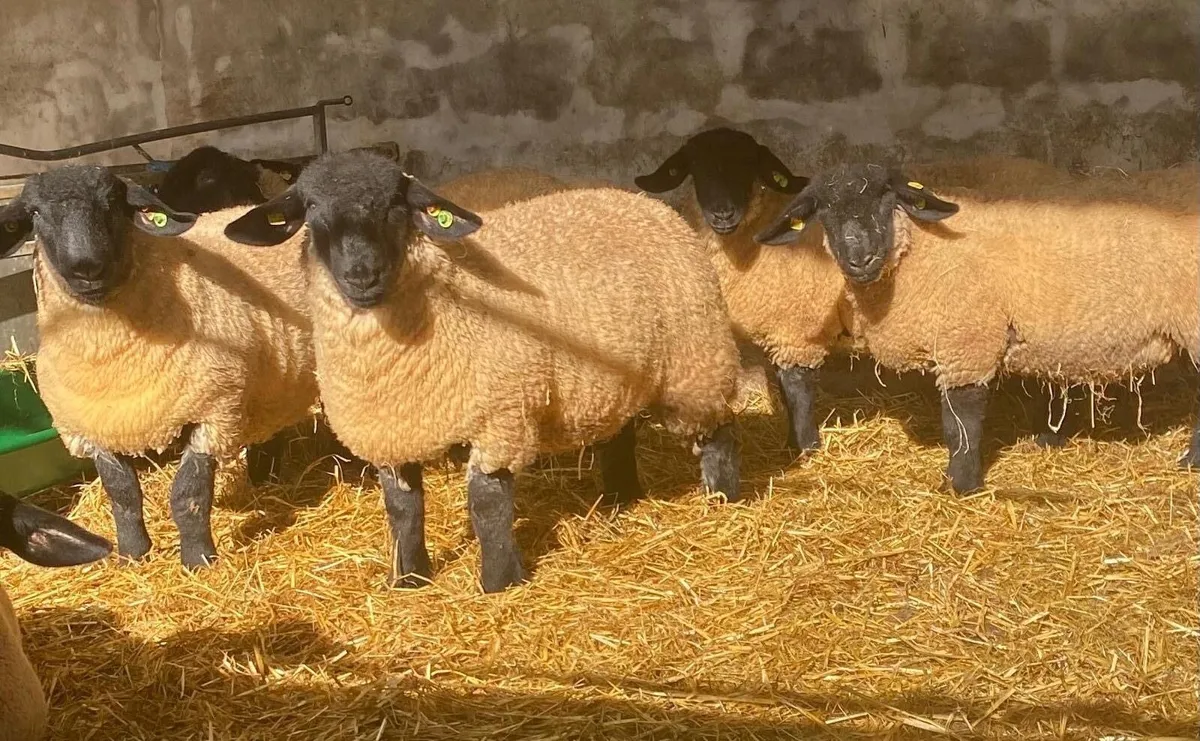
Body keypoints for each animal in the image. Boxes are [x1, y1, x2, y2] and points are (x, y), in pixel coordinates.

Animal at [0, 165, 318, 568]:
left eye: (113, 203)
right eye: (35, 213)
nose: (86, 267)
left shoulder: (211, 410)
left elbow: (188, 495)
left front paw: (198, 560)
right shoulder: (95, 426)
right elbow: (122, 496)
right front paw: (132, 555)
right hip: (273, 375)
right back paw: (265, 477)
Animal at [222, 151, 742, 593]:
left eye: (394, 205)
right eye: (311, 208)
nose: (361, 274)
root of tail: (639, 202)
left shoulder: (501, 414)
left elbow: (487, 501)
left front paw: (499, 582)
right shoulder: (391, 426)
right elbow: (402, 507)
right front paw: (409, 579)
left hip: (696, 363)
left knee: (718, 433)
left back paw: (724, 503)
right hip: (613, 375)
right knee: (617, 431)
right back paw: (619, 498)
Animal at [634, 128, 846, 455]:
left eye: (748, 164)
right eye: (697, 166)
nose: (723, 214)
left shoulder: (797, 330)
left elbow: (797, 391)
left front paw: (805, 448)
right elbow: (786, 392)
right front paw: (792, 446)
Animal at [756, 162, 1200, 492]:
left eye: (885, 198)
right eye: (823, 210)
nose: (859, 258)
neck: (921, 251)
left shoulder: (967, 341)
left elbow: (961, 423)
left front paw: (960, 485)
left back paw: (1189, 463)